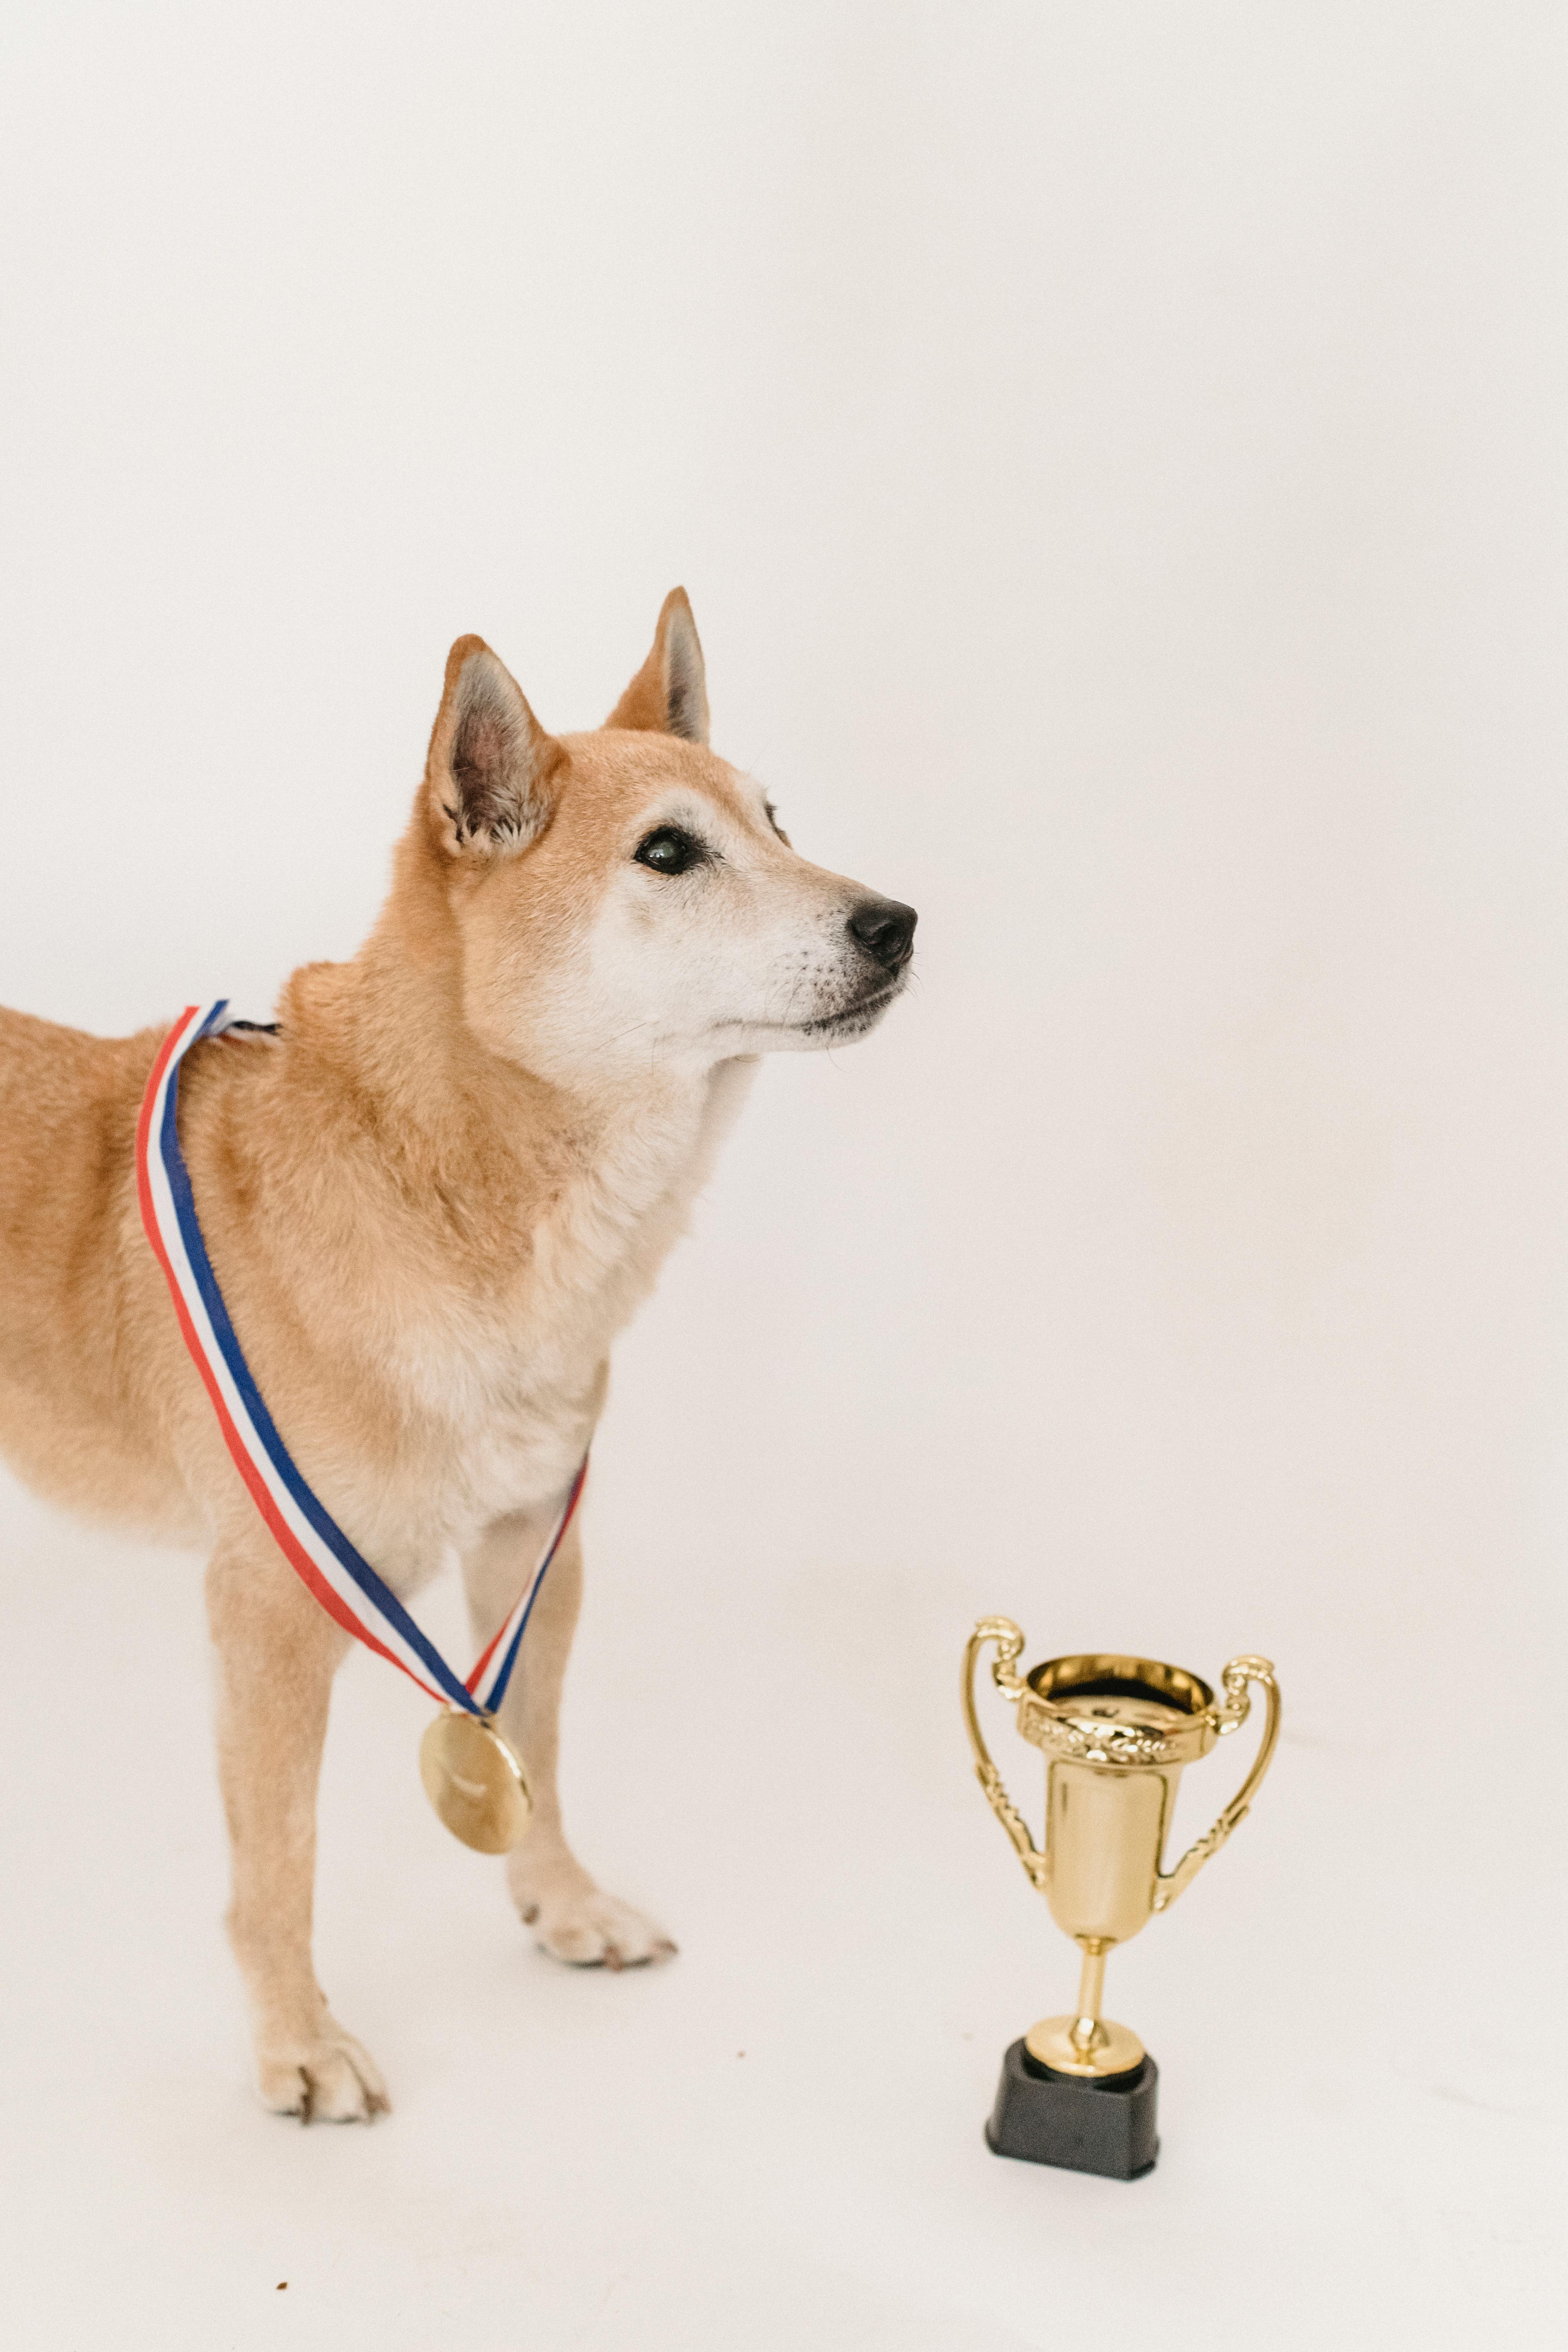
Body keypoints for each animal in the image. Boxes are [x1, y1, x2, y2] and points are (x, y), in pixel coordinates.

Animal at [0, 597, 921, 2126]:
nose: (897, 920)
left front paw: (563, 1902)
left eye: (778, 820)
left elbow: (534, 1745)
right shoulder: (270, 1608)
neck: (453, 1179)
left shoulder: (534, 1541)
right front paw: (298, 2039)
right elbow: (281, 1861)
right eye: (668, 852)